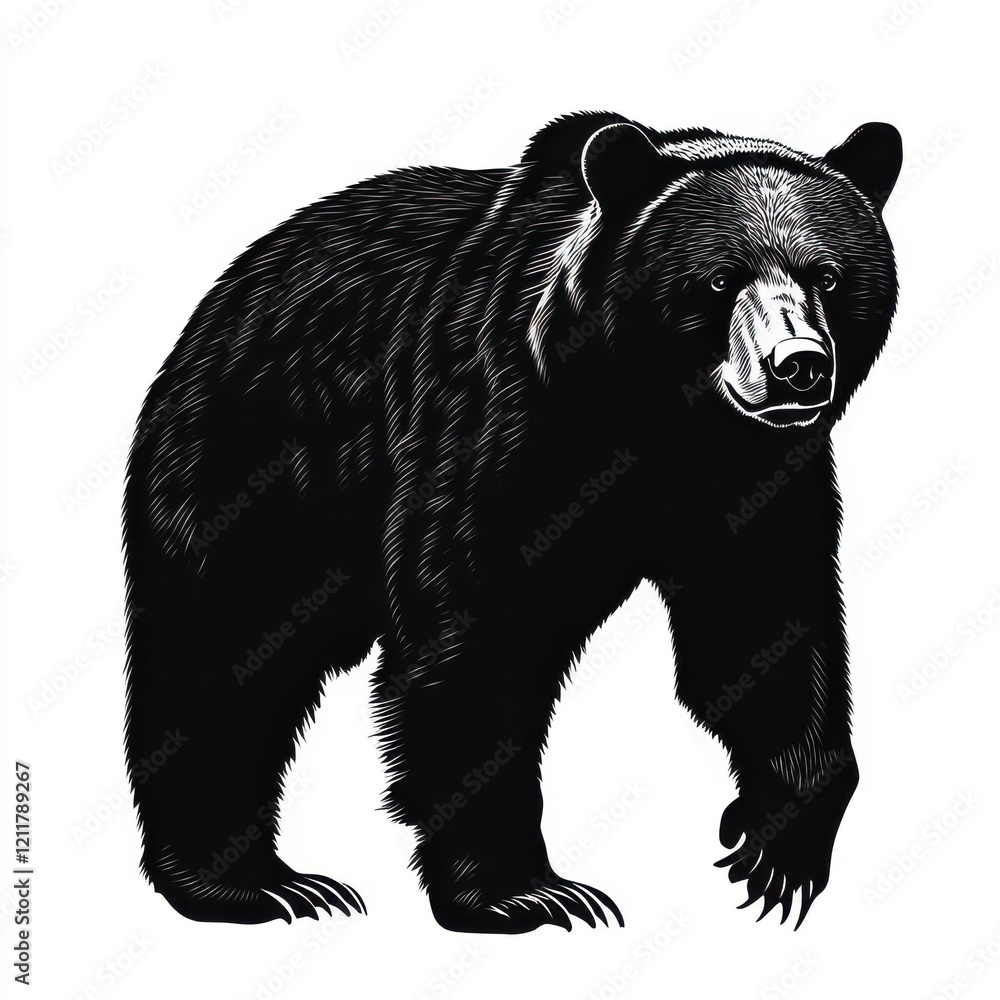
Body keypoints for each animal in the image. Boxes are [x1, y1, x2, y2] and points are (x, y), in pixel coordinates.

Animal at [123, 111, 901, 933]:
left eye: (827, 276)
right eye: (718, 279)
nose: (797, 365)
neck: (654, 418)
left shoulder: (758, 478)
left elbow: (763, 624)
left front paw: (777, 848)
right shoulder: (498, 427)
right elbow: (474, 639)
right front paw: (524, 891)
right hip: (258, 458)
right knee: (224, 647)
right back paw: (250, 884)